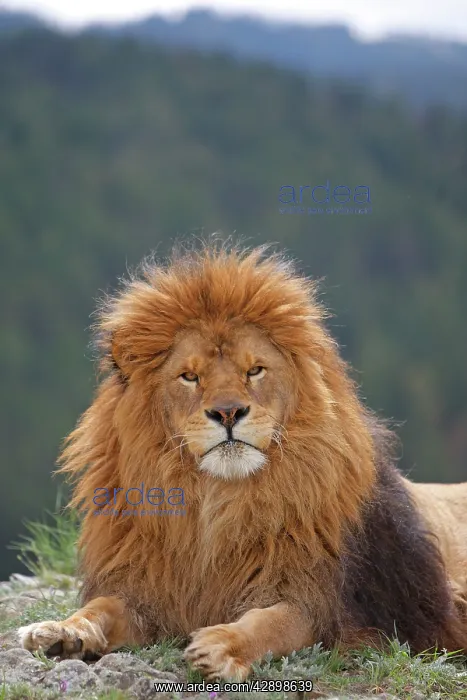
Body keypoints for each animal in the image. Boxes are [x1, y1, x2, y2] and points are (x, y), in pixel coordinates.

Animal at [19, 243, 467, 680]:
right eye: (189, 376)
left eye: (255, 370)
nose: (228, 412)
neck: (217, 502)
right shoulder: (147, 593)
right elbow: (100, 608)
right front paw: (61, 631)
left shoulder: (320, 602)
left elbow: (272, 623)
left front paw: (219, 646)